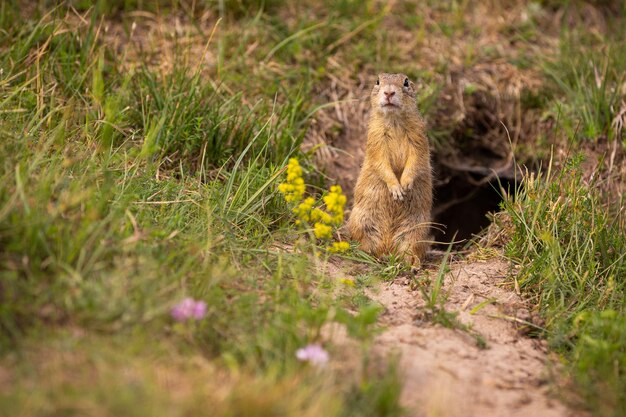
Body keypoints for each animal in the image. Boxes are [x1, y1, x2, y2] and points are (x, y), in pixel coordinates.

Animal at [346, 72, 428, 264]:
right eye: (377, 81)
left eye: (406, 82)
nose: (389, 92)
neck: (394, 119)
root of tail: (388, 246)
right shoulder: (376, 139)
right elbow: (381, 163)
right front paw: (397, 190)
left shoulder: (418, 137)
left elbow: (416, 159)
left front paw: (405, 184)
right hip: (361, 222)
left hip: (416, 229)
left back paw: (411, 262)